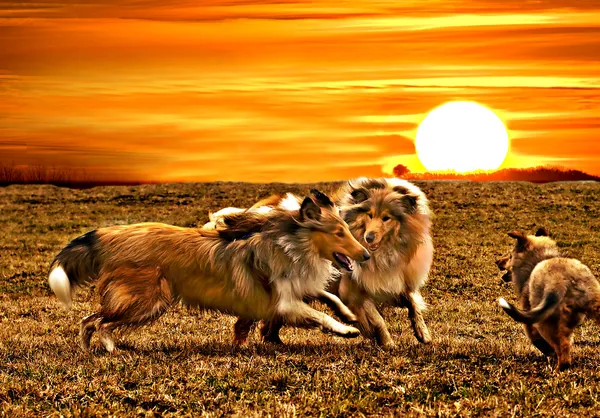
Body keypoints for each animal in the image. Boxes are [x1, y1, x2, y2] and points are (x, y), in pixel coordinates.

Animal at [50, 191, 370, 352]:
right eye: (339, 233)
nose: (366, 255)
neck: (291, 241)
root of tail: (109, 234)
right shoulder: (283, 302)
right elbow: (318, 314)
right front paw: (346, 330)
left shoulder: (294, 287)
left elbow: (329, 298)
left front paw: (349, 315)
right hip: (147, 301)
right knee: (100, 322)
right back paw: (112, 351)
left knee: (88, 321)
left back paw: (88, 350)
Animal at [496, 229, 600, 370]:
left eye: (511, 256)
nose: (497, 261)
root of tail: (563, 279)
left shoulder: (529, 321)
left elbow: (537, 340)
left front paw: (549, 353)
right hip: (595, 305)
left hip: (546, 322)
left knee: (563, 347)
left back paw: (559, 369)